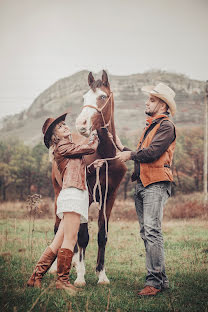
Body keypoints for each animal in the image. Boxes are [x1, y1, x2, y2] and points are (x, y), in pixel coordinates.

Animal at [50, 70, 127, 286]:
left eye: (102, 96)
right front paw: (81, 276)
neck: (104, 155)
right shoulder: (86, 196)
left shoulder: (109, 197)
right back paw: (58, 267)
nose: (81, 124)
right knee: (59, 227)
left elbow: (102, 235)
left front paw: (101, 274)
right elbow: (83, 236)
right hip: (58, 194)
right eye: (84, 97)